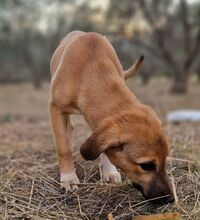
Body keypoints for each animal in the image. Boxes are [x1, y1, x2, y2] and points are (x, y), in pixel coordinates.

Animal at [49, 31, 174, 205]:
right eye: (146, 165)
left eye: (165, 158)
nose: (171, 199)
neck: (92, 68)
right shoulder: (56, 109)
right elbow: (63, 148)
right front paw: (68, 178)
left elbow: (105, 148)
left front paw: (109, 171)